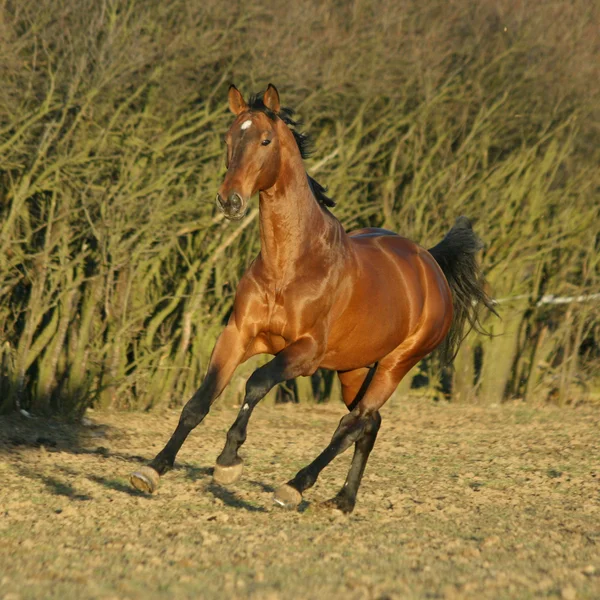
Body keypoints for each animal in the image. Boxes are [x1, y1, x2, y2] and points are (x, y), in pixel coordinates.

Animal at [129, 83, 494, 516]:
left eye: (265, 140)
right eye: (228, 139)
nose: (229, 201)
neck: (290, 265)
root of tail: (430, 263)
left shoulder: (305, 353)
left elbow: (256, 383)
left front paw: (228, 462)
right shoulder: (237, 335)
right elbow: (199, 401)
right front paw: (152, 470)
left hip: (395, 364)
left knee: (354, 423)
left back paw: (295, 486)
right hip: (353, 369)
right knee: (369, 423)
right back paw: (343, 501)